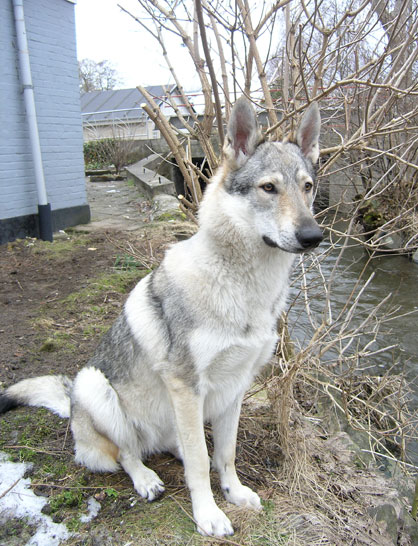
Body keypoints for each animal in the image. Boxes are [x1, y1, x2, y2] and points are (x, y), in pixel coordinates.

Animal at [0, 98, 324, 536]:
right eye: (269, 188)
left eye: (307, 187)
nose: (313, 236)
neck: (243, 288)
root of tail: (71, 407)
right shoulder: (187, 386)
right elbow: (201, 463)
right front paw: (209, 515)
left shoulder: (235, 386)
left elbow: (224, 454)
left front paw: (234, 493)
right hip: (95, 387)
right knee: (127, 454)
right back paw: (147, 480)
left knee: (177, 447)